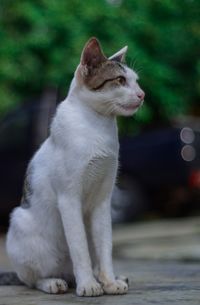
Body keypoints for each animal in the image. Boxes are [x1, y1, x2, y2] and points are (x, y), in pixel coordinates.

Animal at [5, 36, 145, 296]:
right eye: (120, 80)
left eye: (136, 81)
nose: (142, 95)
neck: (98, 127)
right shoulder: (69, 199)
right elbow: (79, 248)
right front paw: (88, 285)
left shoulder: (103, 200)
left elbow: (105, 247)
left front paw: (108, 282)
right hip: (21, 223)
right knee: (30, 278)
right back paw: (54, 282)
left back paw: (109, 277)